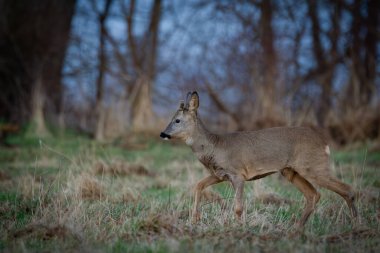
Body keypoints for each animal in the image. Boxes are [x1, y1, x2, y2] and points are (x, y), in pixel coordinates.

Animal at [159, 91, 358, 227]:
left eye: (177, 120)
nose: (163, 134)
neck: (214, 146)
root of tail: (325, 143)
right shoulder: (219, 174)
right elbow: (198, 185)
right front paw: (195, 219)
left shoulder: (238, 174)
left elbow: (238, 207)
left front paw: (239, 228)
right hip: (290, 171)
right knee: (313, 194)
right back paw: (296, 227)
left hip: (313, 165)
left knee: (347, 189)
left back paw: (356, 224)